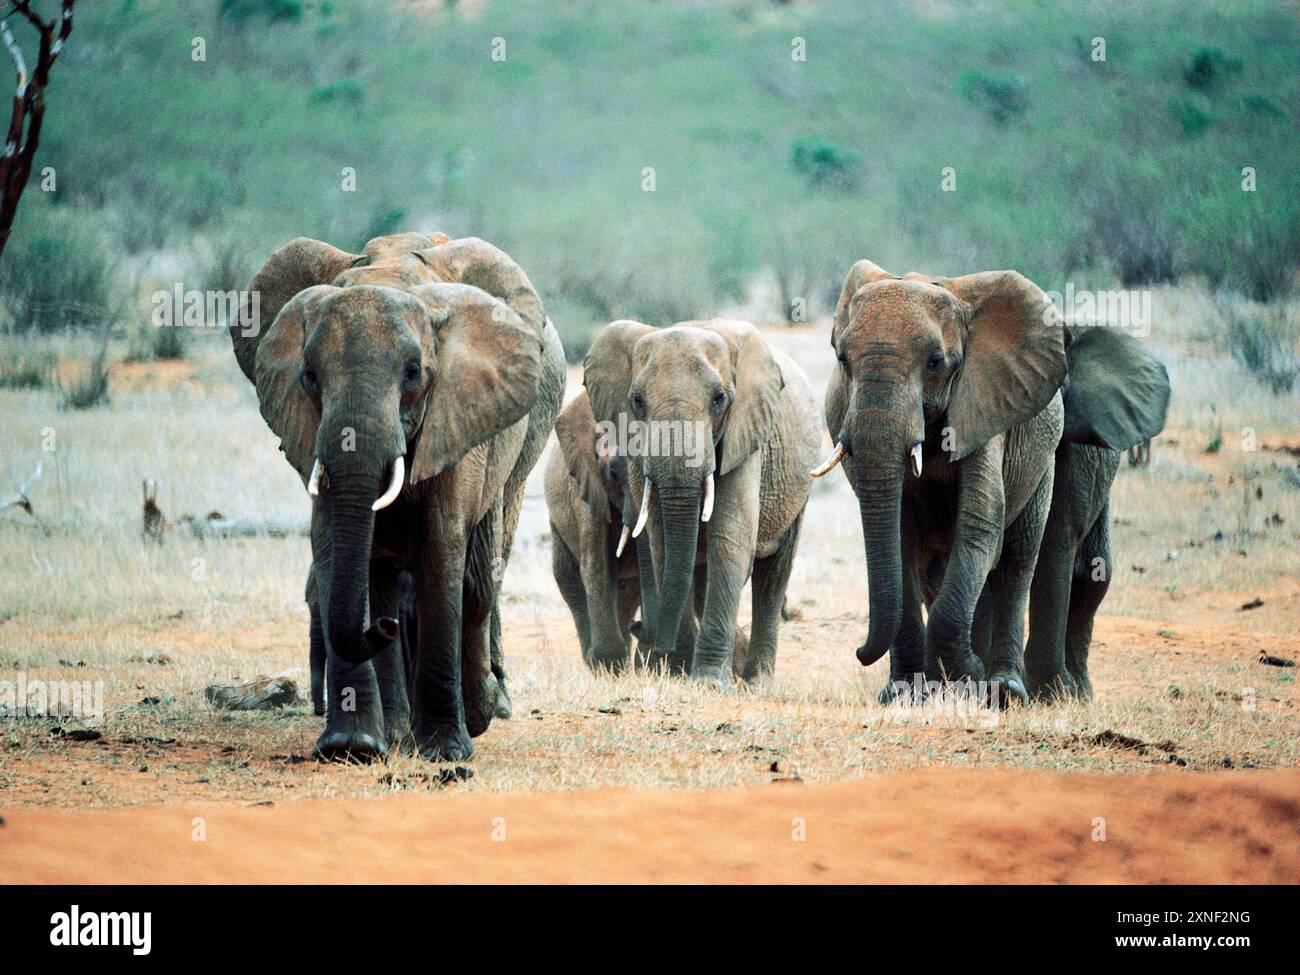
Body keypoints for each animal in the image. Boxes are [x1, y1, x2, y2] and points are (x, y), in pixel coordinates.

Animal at [230, 232, 565, 761]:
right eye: (309, 376)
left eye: (412, 373)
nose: (381, 627)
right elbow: (335, 544)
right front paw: (354, 747)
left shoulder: (458, 409)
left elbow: (442, 544)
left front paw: (446, 751)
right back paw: (399, 728)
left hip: (528, 435)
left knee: (481, 573)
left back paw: (484, 711)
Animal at [582, 318, 820, 685]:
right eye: (637, 401)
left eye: (719, 399)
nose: (655, 646)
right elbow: (663, 541)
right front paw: (679, 675)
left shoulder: (746, 435)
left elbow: (730, 536)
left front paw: (708, 682)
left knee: (774, 573)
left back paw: (756, 682)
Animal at [813, 261, 1068, 705]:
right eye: (843, 359)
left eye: (935, 362)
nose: (860, 652)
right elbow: (899, 538)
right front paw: (903, 694)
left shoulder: (984, 402)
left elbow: (980, 524)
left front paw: (971, 678)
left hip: (1042, 456)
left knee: (1018, 557)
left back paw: (1003, 689)